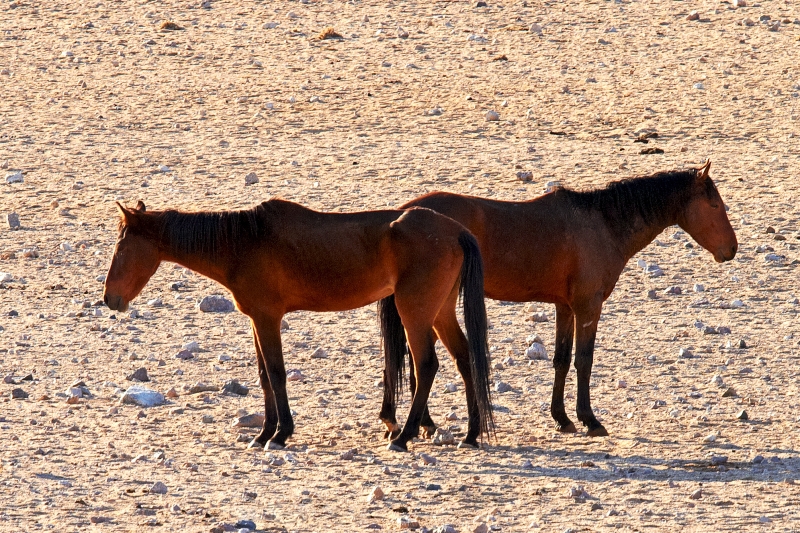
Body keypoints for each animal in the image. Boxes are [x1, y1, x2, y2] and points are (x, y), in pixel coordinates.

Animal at [103, 197, 494, 450]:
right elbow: (264, 376)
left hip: (415, 312)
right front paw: (264, 433)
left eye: (121, 248)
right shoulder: (256, 321)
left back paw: (403, 436)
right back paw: (471, 434)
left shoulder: (267, 318)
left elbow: (276, 373)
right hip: (439, 312)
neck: (242, 242)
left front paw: (278, 435)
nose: (109, 298)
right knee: (465, 358)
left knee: (426, 365)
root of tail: (455, 231)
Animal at [382, 161, 736, 436]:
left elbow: (561, 361)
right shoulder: (588, 306)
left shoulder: (565, 307)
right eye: (715, 205)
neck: (602, 224)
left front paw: (562, 418)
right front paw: (590, 419)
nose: (732, 249)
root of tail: (403, 215)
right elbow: (584, 360)